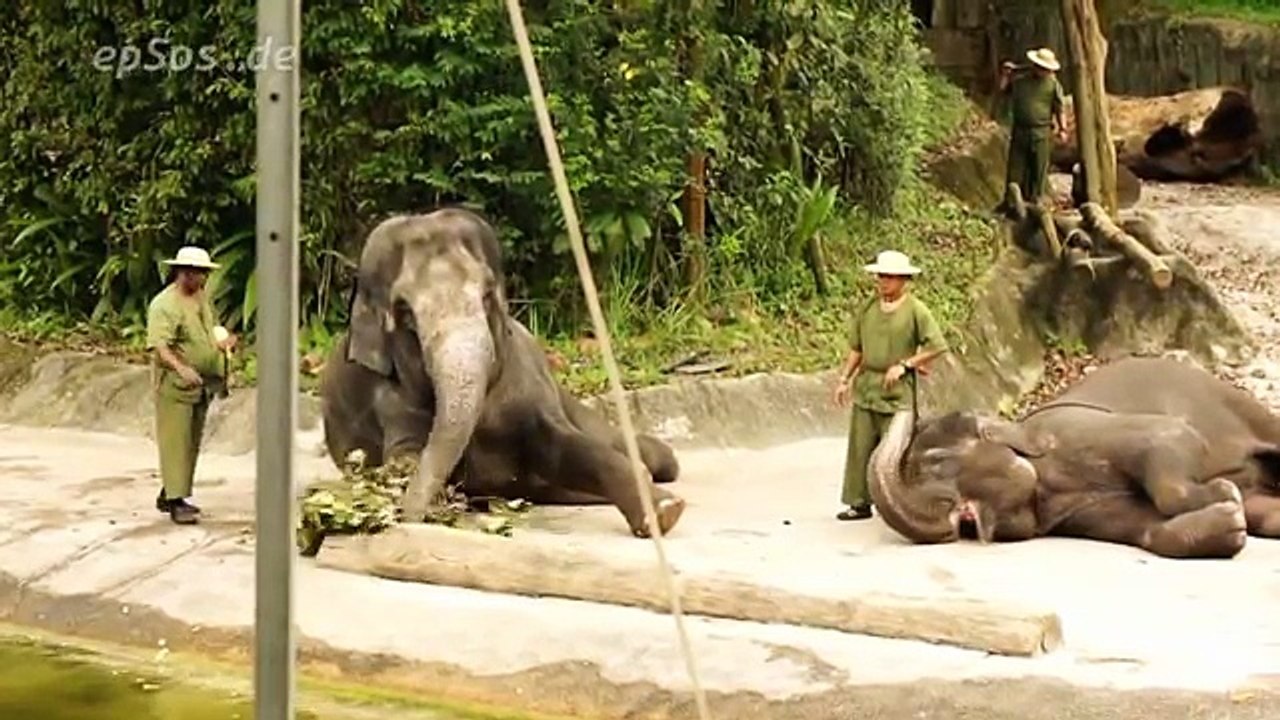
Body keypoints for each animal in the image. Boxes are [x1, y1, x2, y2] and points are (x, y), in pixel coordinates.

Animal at [320, 208, 685, 538]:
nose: (407, 515)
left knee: (649, 453)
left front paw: (666, 512)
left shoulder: (527, 383)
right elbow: (404, 456)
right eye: (405, 312)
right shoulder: (390, 401)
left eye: (486, 294)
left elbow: (562, 443)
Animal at [866, 356, 1280, 559]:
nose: (966, 523)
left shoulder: (1079, 429)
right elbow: (1149, 529)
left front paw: (1224, 493)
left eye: (936, 461)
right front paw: (1231, 521)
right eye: (964, 523)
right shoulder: (1074, 514)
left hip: (1240, 406)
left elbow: (1168, 435)